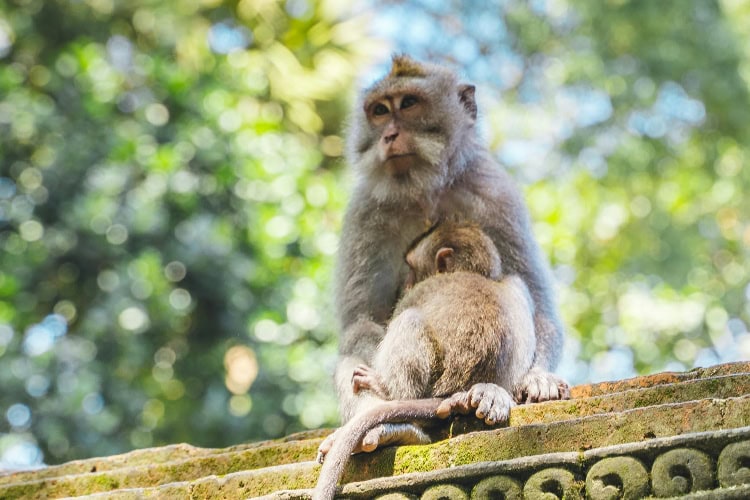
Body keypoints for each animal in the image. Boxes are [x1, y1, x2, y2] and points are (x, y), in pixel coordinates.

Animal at [313, 222, 538, 500]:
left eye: (412, 267)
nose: (405, 285)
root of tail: (454, 390)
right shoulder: (515, 284)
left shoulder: (424, 288)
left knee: (409, 319)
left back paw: (385, 388)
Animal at [323, 54, 570, 460]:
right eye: (379, 111)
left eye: (408, 103)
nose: (389, 135)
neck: (424, 188)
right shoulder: (366, 213)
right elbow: (363, 319)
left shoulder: (495, 192)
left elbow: (540, 302)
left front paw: (540, 379)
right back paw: (388, 425)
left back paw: (486, 393)